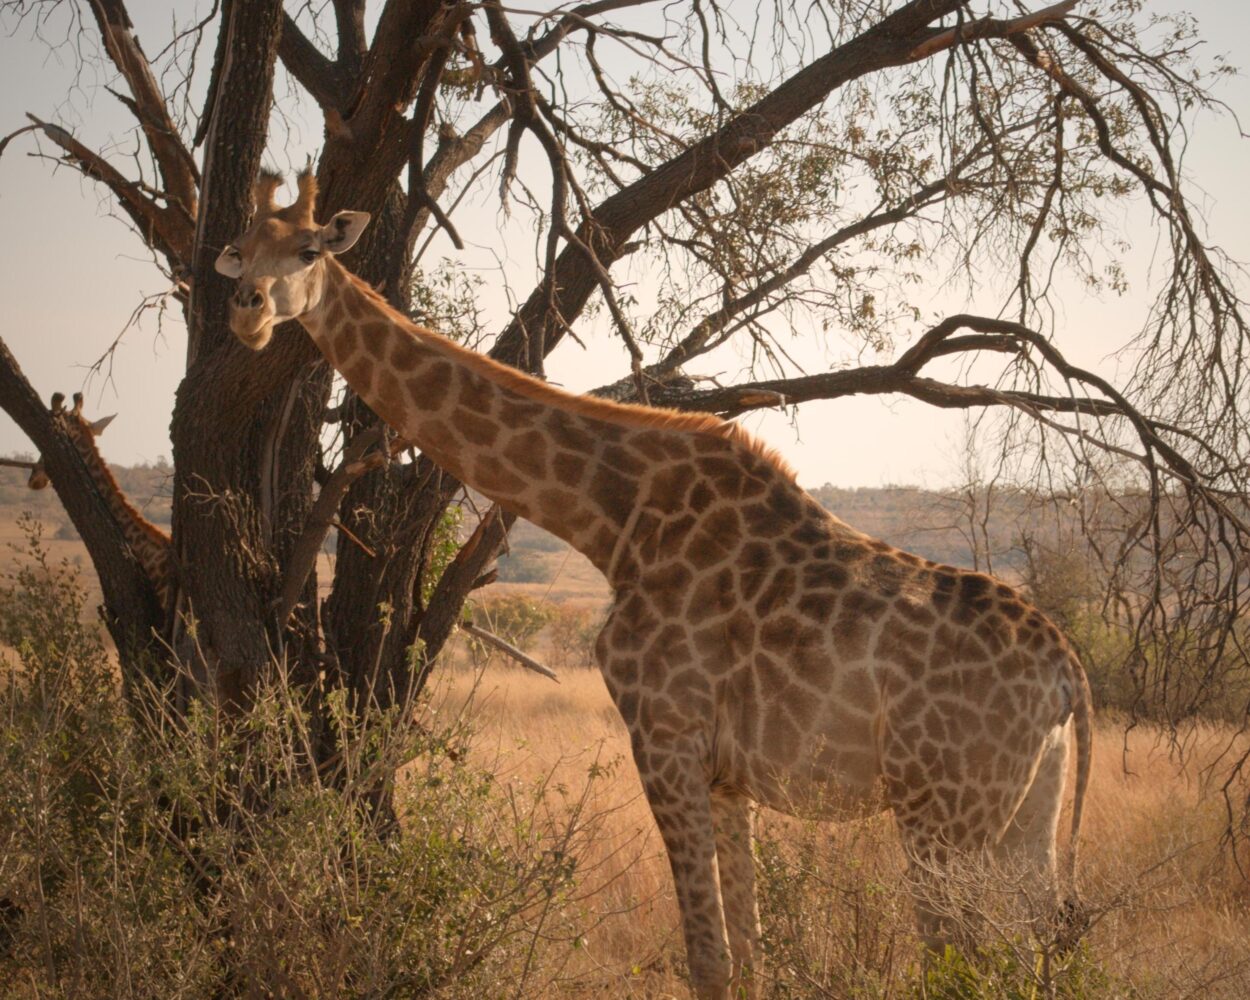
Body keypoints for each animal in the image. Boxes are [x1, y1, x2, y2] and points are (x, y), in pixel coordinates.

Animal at [217, 173, 1095, 1000]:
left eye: (307, 251)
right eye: (240, 248)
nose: (245, 311)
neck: (614, 517)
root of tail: (1067, 673)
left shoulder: (664, 735)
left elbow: (708, 959)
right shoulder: (728, 774)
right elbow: (750, 957)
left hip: (942, 811)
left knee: (966, 958)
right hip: (1023, 811)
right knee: (1032, 952)